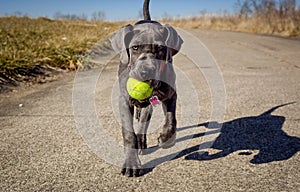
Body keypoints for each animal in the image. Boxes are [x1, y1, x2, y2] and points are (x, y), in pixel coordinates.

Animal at [109, 1, 182, 177]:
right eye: (135, 48)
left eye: (160, 49)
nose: (146, 72)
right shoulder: (124, 100)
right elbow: (128, 133)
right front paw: (131, 163)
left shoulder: (171, 94)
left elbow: (171, 119)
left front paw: (166, 138)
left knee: (144, 118)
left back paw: (142, 140)